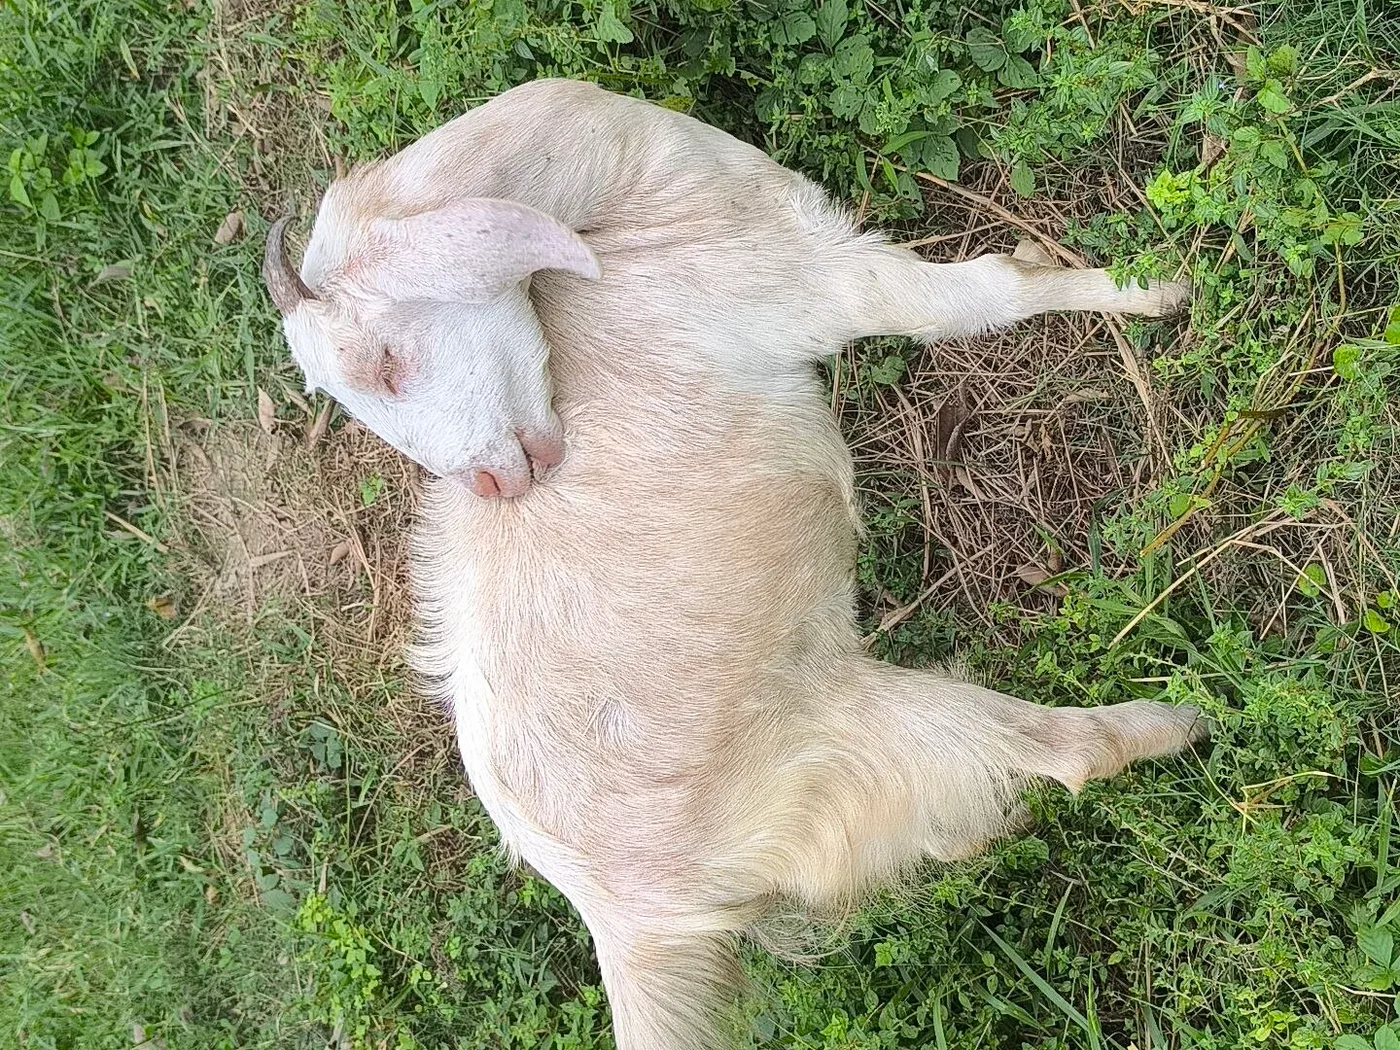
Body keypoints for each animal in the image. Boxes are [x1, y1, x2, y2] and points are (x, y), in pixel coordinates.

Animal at [264, 77, 1205, 1050]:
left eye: (384, 364)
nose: (494, 482)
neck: (618, 219)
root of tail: (624, 920)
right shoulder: (808, 279)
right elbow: (979, 294)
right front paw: (1153, 287)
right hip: (854, 736)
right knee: (1057, 754)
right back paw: (1174, 720)